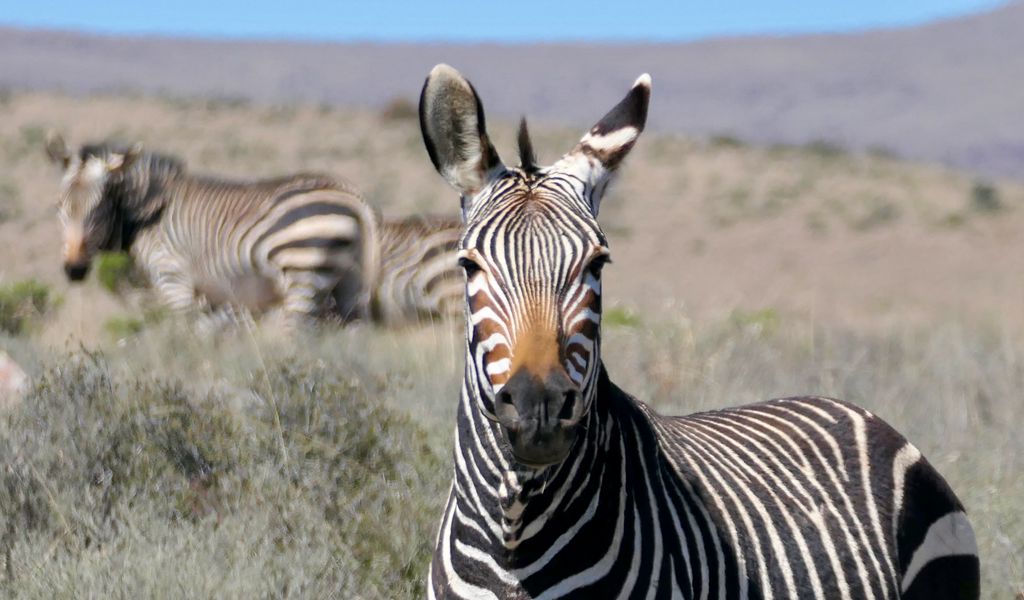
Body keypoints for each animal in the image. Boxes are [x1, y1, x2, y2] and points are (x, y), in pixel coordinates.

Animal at [45, 135, 379, 324]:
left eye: (100, 207)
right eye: (59, 206)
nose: (73, 270)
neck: (145, 216)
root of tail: (354, 196)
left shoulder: (173, 281)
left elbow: (185, 342)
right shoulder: (211, 296)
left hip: (303, 274)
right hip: (348, 287)